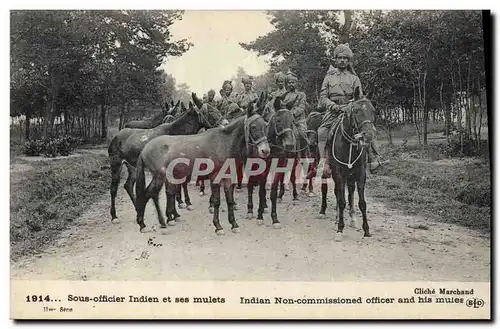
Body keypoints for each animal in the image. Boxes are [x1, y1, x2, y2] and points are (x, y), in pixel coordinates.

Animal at [107, 95, 221, 223]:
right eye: (209, 111)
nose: (222, 123)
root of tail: (116, 137)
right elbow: (171, 190)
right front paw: (172, 214)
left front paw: (175, 213)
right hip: (116, 164)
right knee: (113, 188)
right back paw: (114, 216)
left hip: (132, 167)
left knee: (128, 185)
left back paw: (138, 209)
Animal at [134, 100, 270, 233]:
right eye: (253, 127)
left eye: (265, 126)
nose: (265, 150)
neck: (223, 143)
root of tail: (145, 148)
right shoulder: (215, 177)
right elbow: (216, 201)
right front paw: (218, 226)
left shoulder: (228, 177)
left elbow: (230, 200)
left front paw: (234, 224)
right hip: (159, 176)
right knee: (150, 194)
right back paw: (151, 223)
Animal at [328, 87, 376, 241]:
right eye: (356, 111)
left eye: (373, 110)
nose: (368, 135)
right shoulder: (339, 173)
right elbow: (342, 201)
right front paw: (340, 229)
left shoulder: (360, 173)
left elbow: (362, 203)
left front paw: (366, 230)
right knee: (338, 193)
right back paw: (337, 218)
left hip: (351, 174)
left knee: (351, 191)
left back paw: (353, 218)